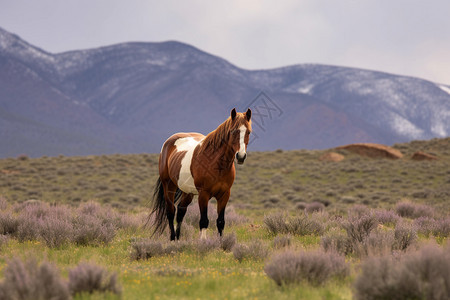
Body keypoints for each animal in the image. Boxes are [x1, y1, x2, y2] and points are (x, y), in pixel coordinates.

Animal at [150, 106, 250, 240]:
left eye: (248, 132)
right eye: (233, 131)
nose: (241, 156)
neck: (217, 164)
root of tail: (168, 142)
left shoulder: (224, 194)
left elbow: (220, 222)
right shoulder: (203, 194)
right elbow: (204, 221)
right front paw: (203, 242)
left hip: (188, 192)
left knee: (181, 211)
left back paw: (178, 239)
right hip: (169, 186)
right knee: (171, 212)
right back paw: (172, 238)